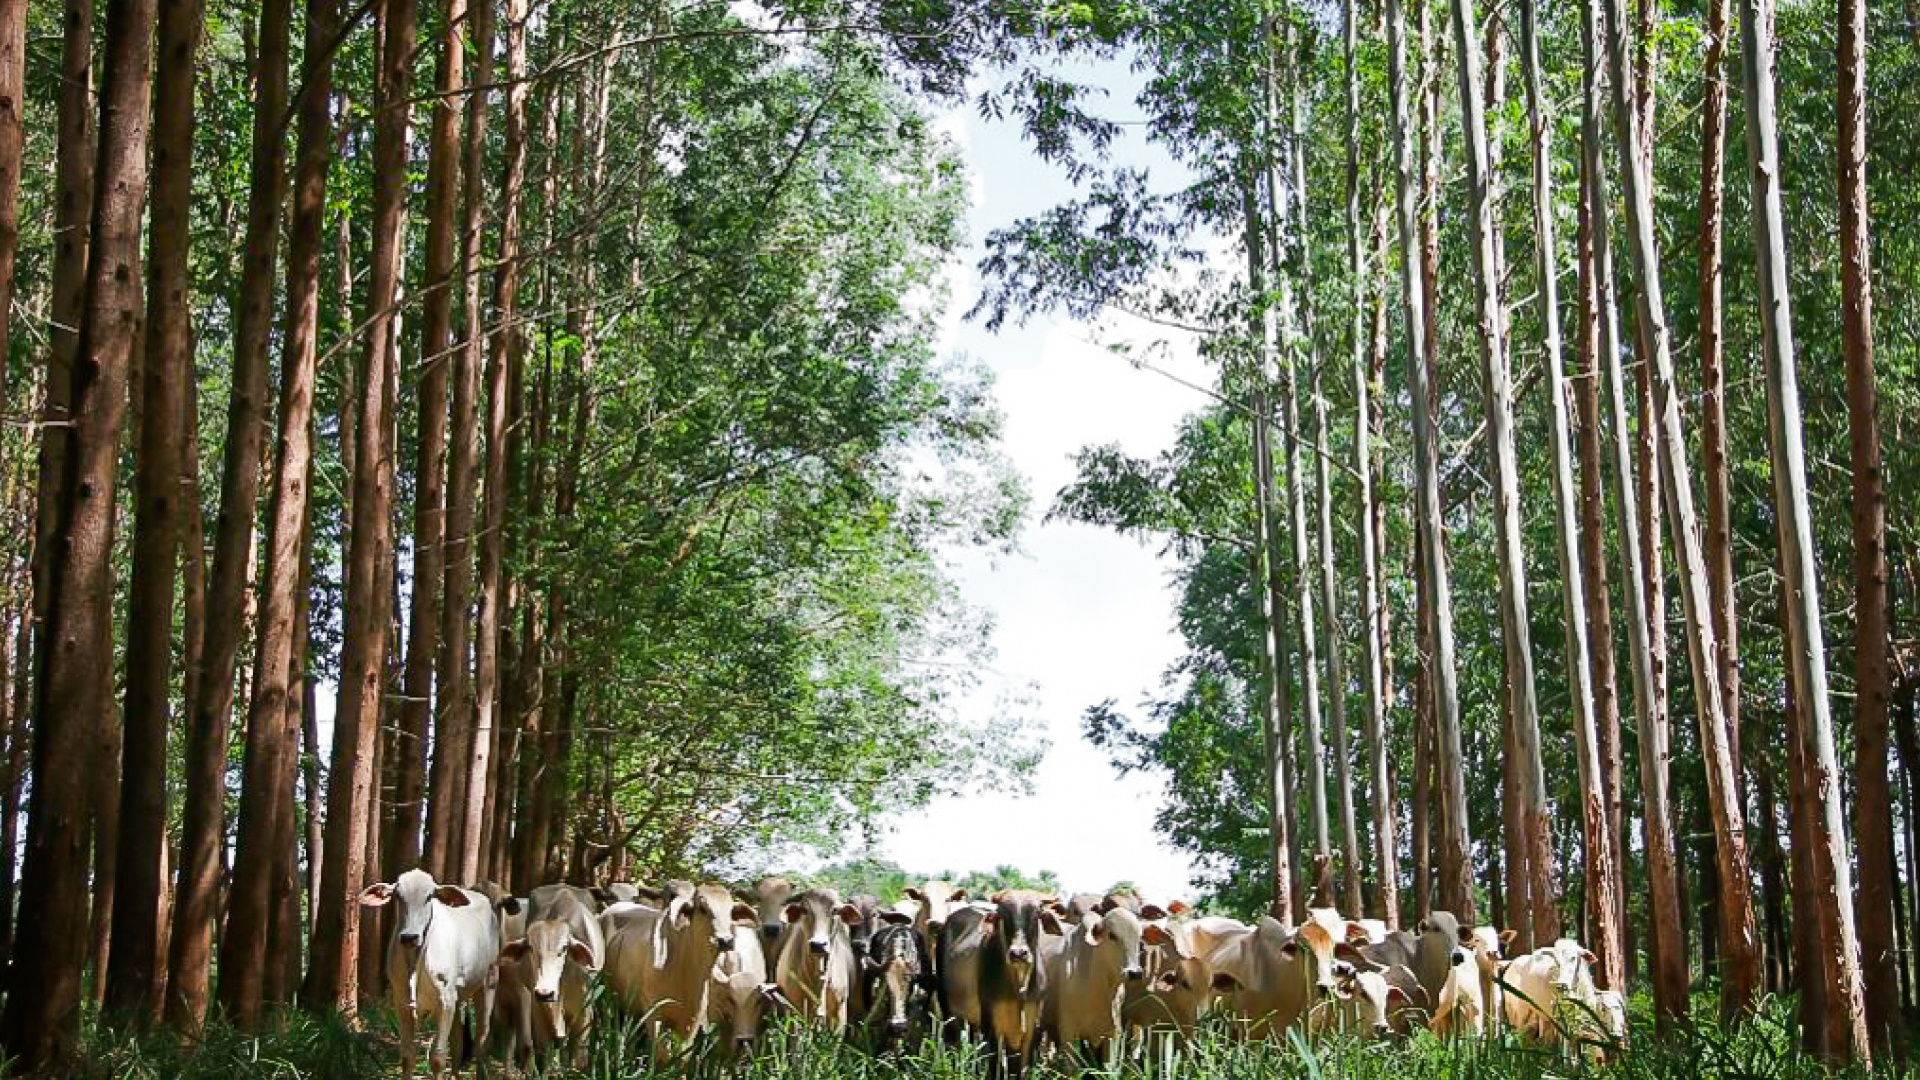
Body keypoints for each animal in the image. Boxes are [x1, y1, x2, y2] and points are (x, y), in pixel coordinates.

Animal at [357, 864, 499, 1076]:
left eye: (429, 896)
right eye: (398, 896)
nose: (409, 937)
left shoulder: (445, 1000)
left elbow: (438, 1058)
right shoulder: (402, 1003)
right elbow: (407, 1056)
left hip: (488, 981)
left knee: (482, 1038)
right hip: (457, 997)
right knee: (457, 1041)